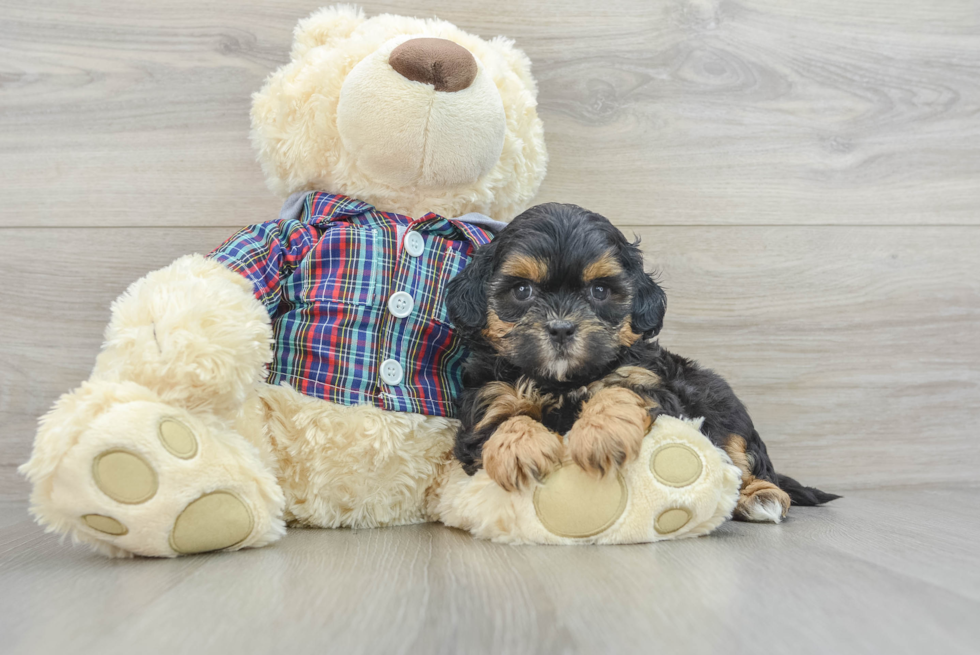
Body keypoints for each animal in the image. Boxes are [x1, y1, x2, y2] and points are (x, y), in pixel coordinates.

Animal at [448, 204, 840, 524]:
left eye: (600, 291)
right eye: (522, 290)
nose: (560, 328)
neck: (562, 381)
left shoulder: (652, 385)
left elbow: (621, 390)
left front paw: (601, 434)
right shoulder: (488, 397)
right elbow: (502, 420)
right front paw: (520, 451)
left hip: (721, 405)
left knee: (742, 457)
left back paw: (761, 497)